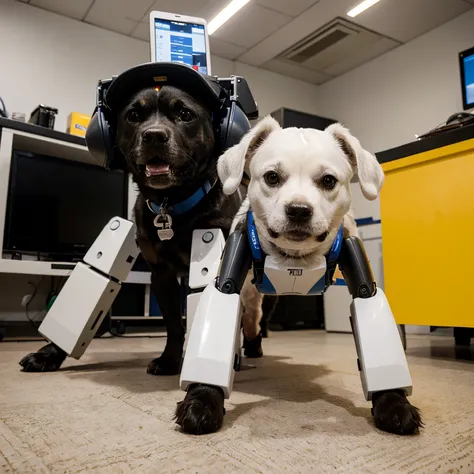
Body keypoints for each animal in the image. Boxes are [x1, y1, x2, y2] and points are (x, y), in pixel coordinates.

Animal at [18, 84, 241, 374]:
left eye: (184, 113)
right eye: (134, 115)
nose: (154, 136)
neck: (173, 204)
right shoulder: (162, 276)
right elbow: (173, 325)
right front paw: (170, 360)